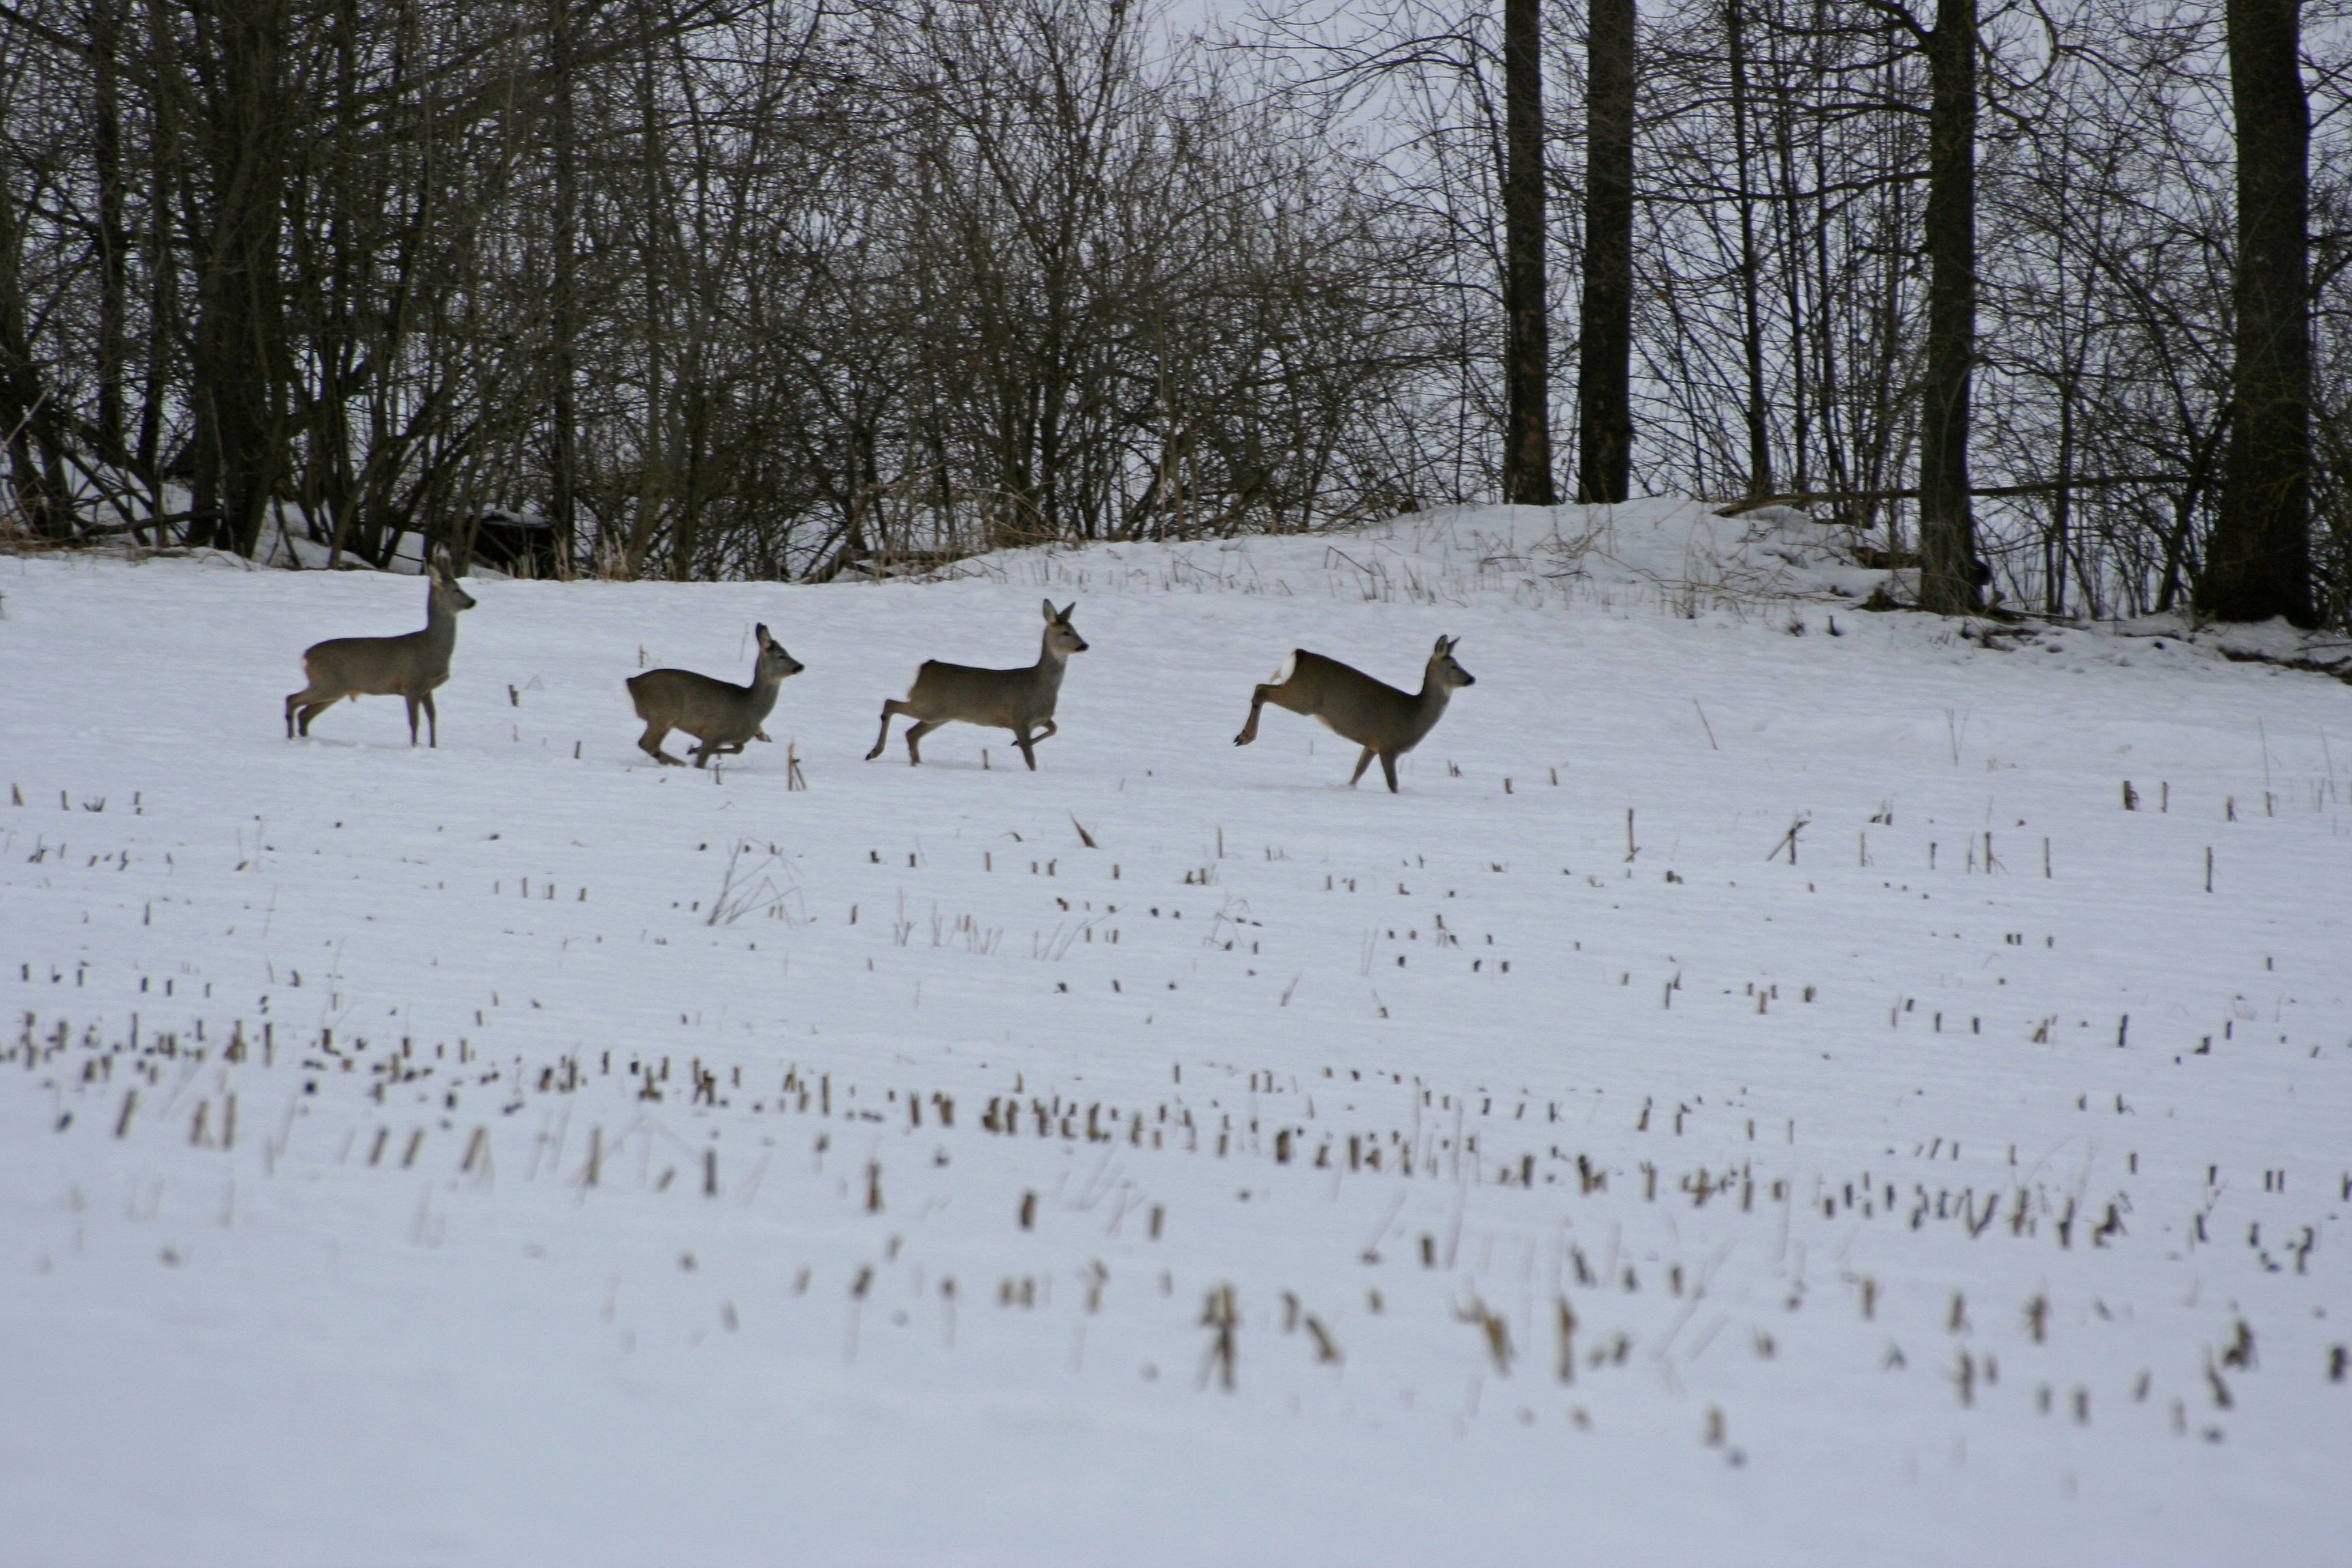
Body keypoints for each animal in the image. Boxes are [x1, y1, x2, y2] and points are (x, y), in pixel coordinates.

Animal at [280, 552, 472, 747]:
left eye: (460, 587)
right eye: (456, 589)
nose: (473, 602)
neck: (432, 646)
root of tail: (305, 657)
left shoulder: (427, 688)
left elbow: (432, 717)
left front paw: (433, 747)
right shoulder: (412, 683)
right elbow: (415, 721)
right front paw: (414, 747)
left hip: (333, 690)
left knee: (304, 714)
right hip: (327, 683)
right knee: (292, 699)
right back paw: (290, 738)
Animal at [625, 625, 808, 771]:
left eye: (787, 652)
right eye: (781, 656)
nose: (800, 666)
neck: (752, 708)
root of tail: (632, 683)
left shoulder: (732, 738)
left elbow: (739, 749)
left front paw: (693, 749)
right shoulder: (714, 733)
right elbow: (702, 762)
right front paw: (694, 753)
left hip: (663, 719)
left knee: (651, 744)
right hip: (662, 712)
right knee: (646, 743)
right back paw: (679, 763)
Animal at [865, 602, 1081, 771]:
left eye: (1076, 630)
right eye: (1066, 632)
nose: (1084, 645)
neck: (1040, 684)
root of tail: (925, 668)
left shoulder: (1039, 718)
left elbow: (1054, 728)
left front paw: (1014, 743)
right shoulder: (1020, 718)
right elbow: (1030, 758)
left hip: (940, 714)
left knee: (911, 733)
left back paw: (916, 762)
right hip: (929, 707)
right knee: (890, 704)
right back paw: (874, 752)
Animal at [1232, 634, 1467, 789]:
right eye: (1454, 666)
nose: (1471, 679)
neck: (1416, 713)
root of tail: (1300, 655)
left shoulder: (1372, 744)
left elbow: (1358, 771)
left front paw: (1348, 788)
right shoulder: (1389, 745)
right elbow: (1392, 784)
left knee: (1261, 687)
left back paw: (1242, 736)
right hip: (1303, 699)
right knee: (1261, 690)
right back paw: (1245, 737)